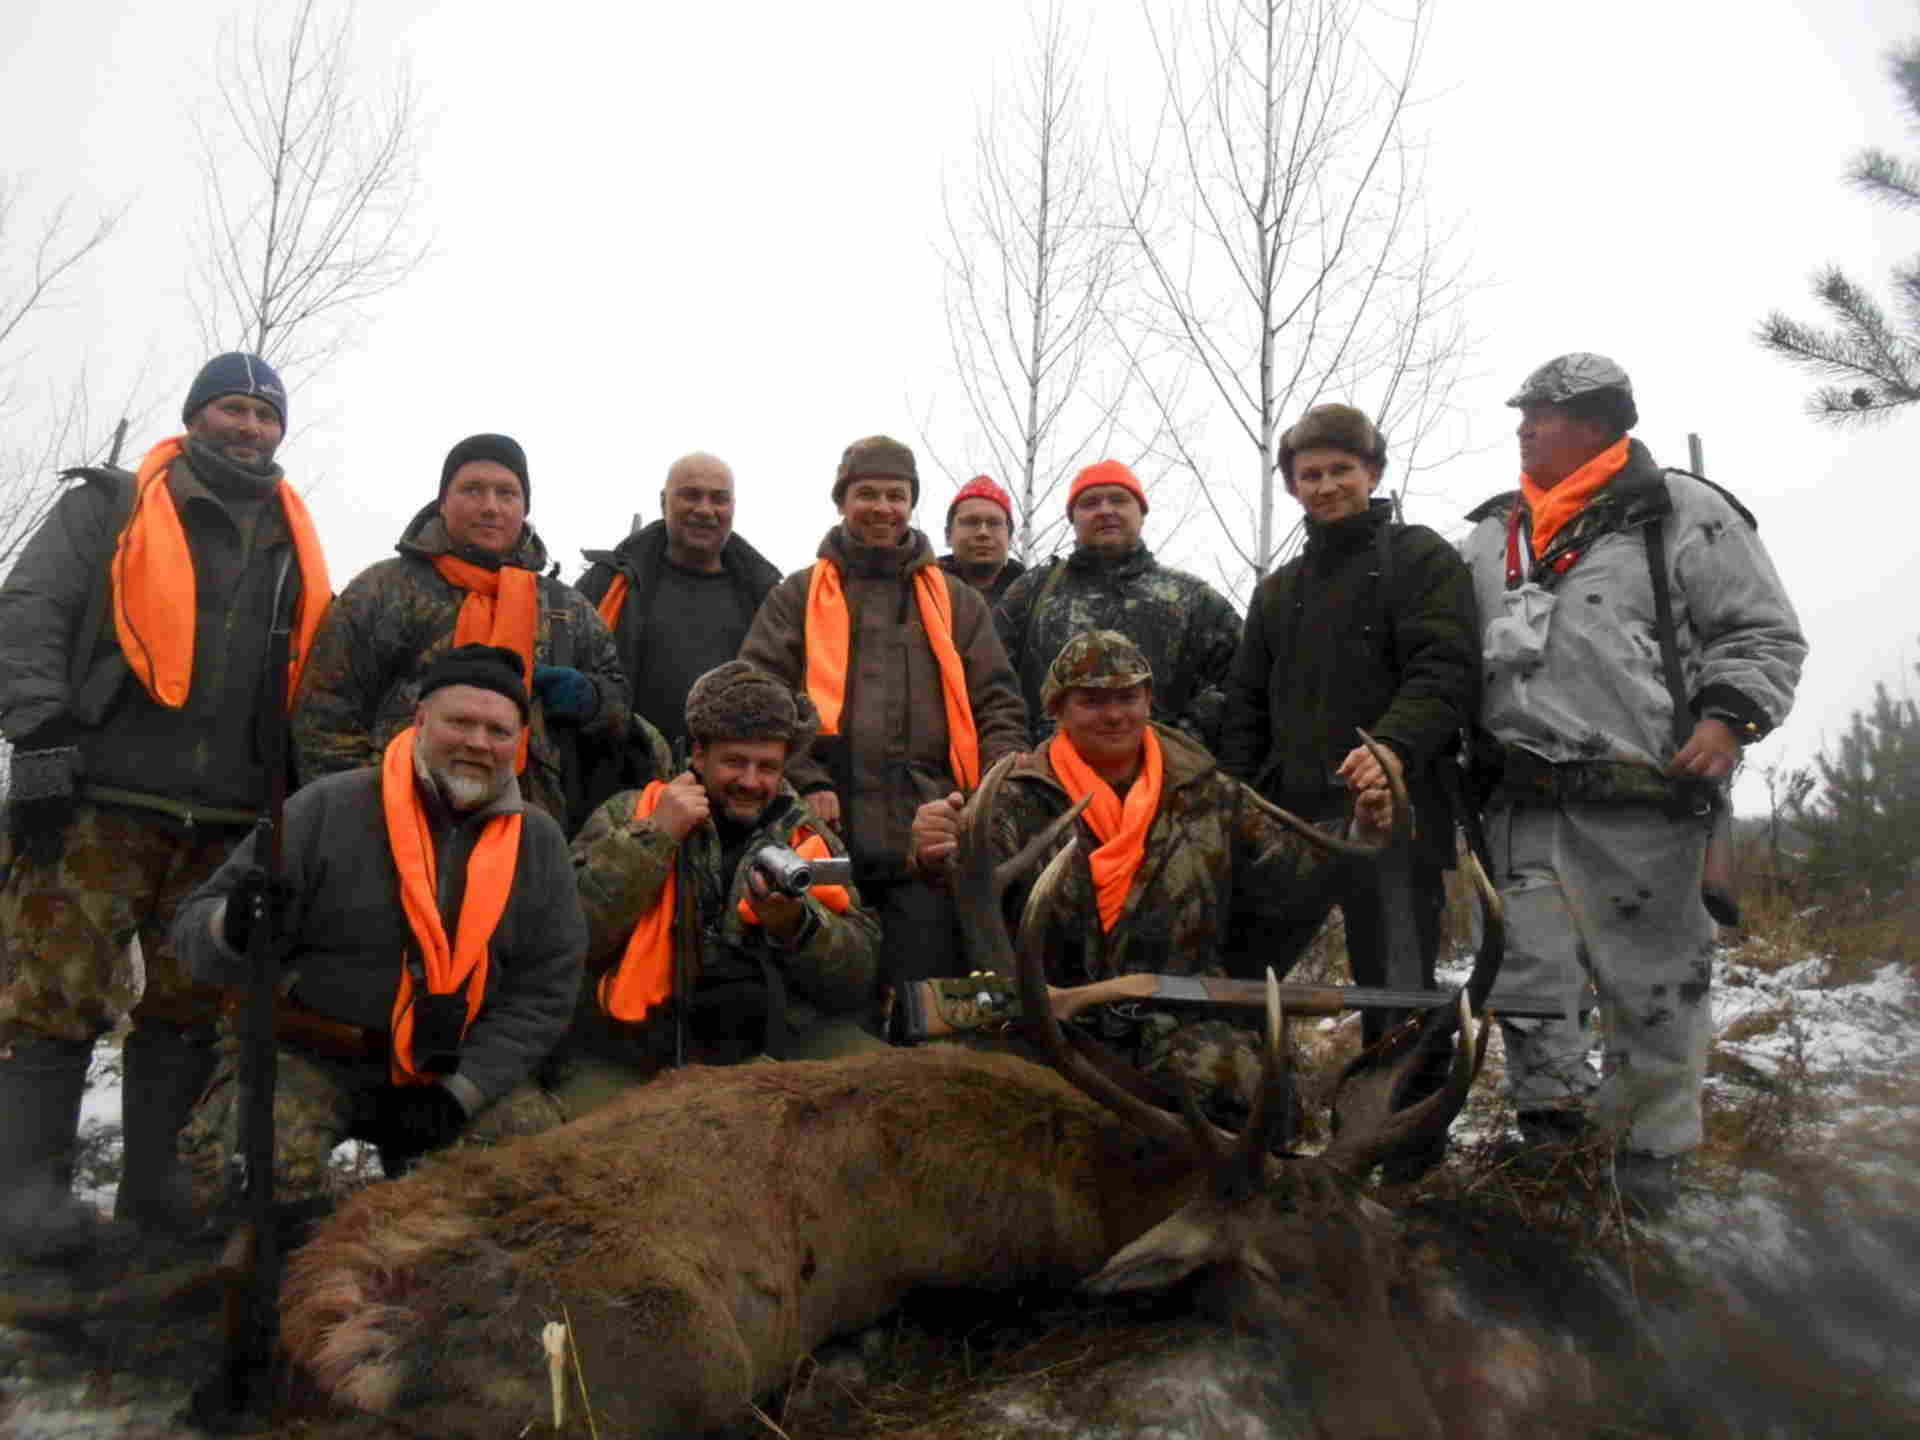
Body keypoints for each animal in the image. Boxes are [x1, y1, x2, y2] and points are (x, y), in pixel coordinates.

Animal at [278, 748, 1489, 1436]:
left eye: (1378, 1258)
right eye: (1268, 1274)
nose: (1412, 1417)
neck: (1084, 1188)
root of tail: (332, 1318)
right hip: (664, 1356)